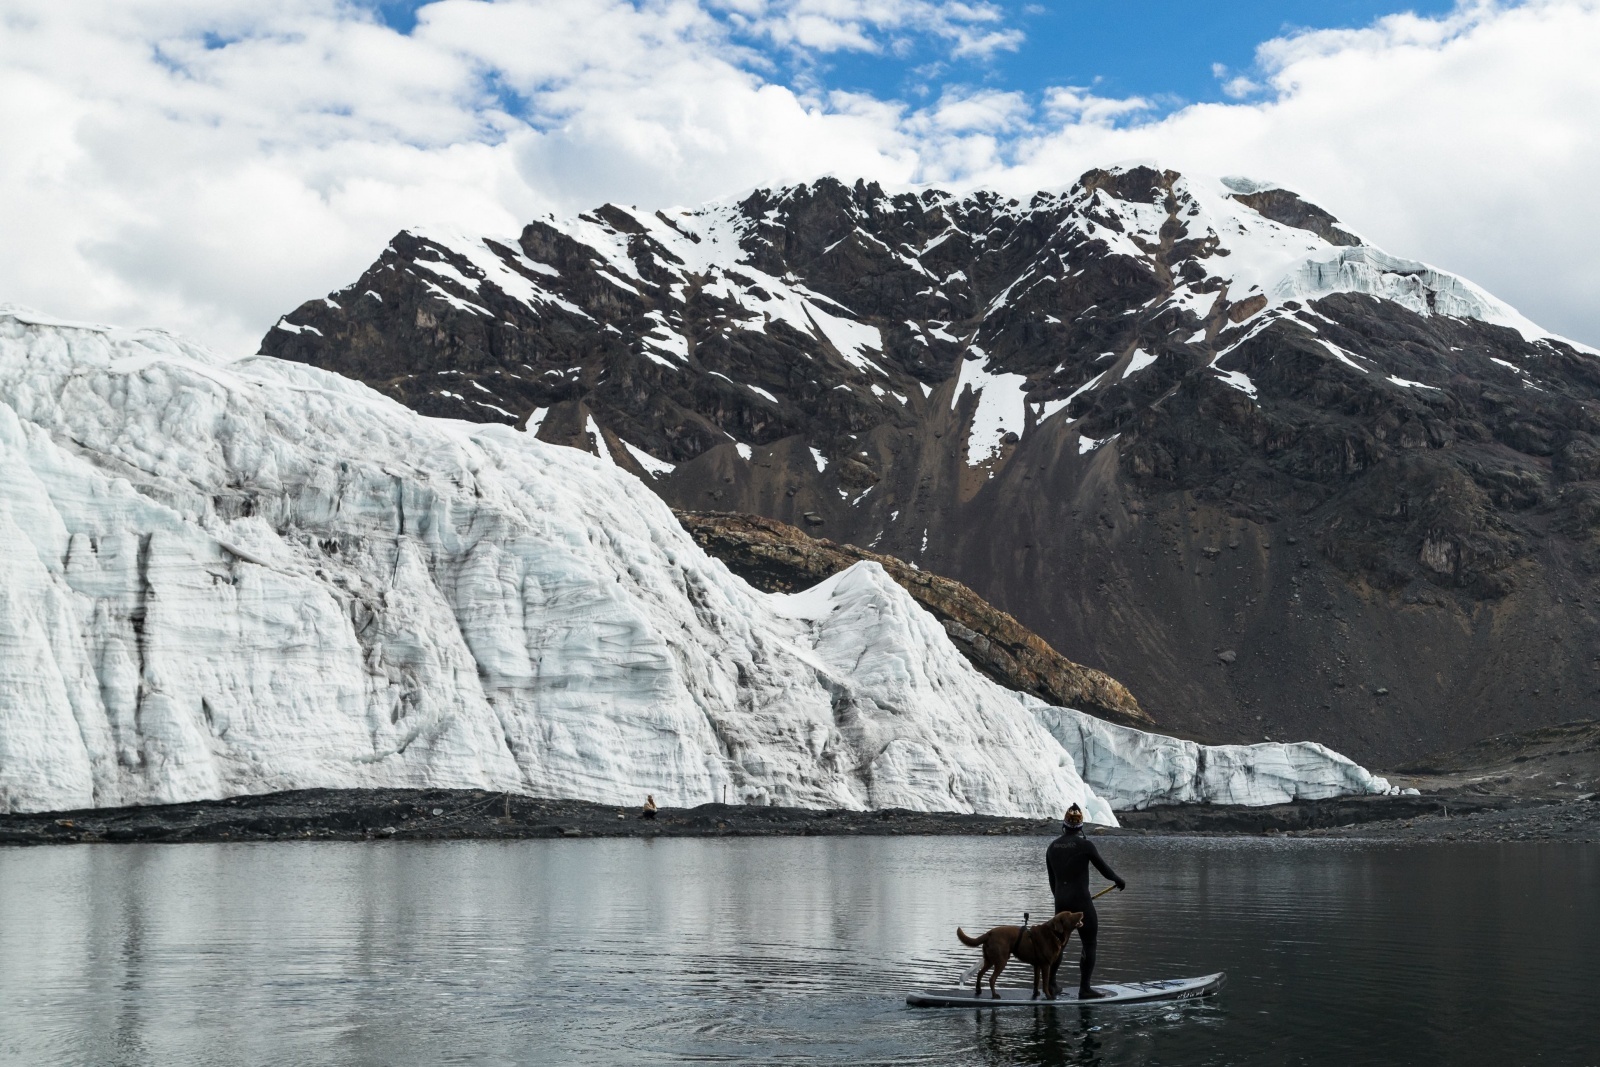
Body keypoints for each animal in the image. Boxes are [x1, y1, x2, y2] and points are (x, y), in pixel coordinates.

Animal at [953, 908, 1081, 1004]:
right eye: (1069, 914)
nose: (1082, 912)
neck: (1053, 933)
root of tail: (989, 933)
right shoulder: (1046, 965)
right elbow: (1044, 983)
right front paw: (1049, 996)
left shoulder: (1037, 965)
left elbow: (1036, 981)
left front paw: (1035, 993)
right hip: (1001, 961)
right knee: (991, 979)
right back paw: (994, 995)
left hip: (989, 960)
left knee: (980, 974)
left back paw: (978, 990)